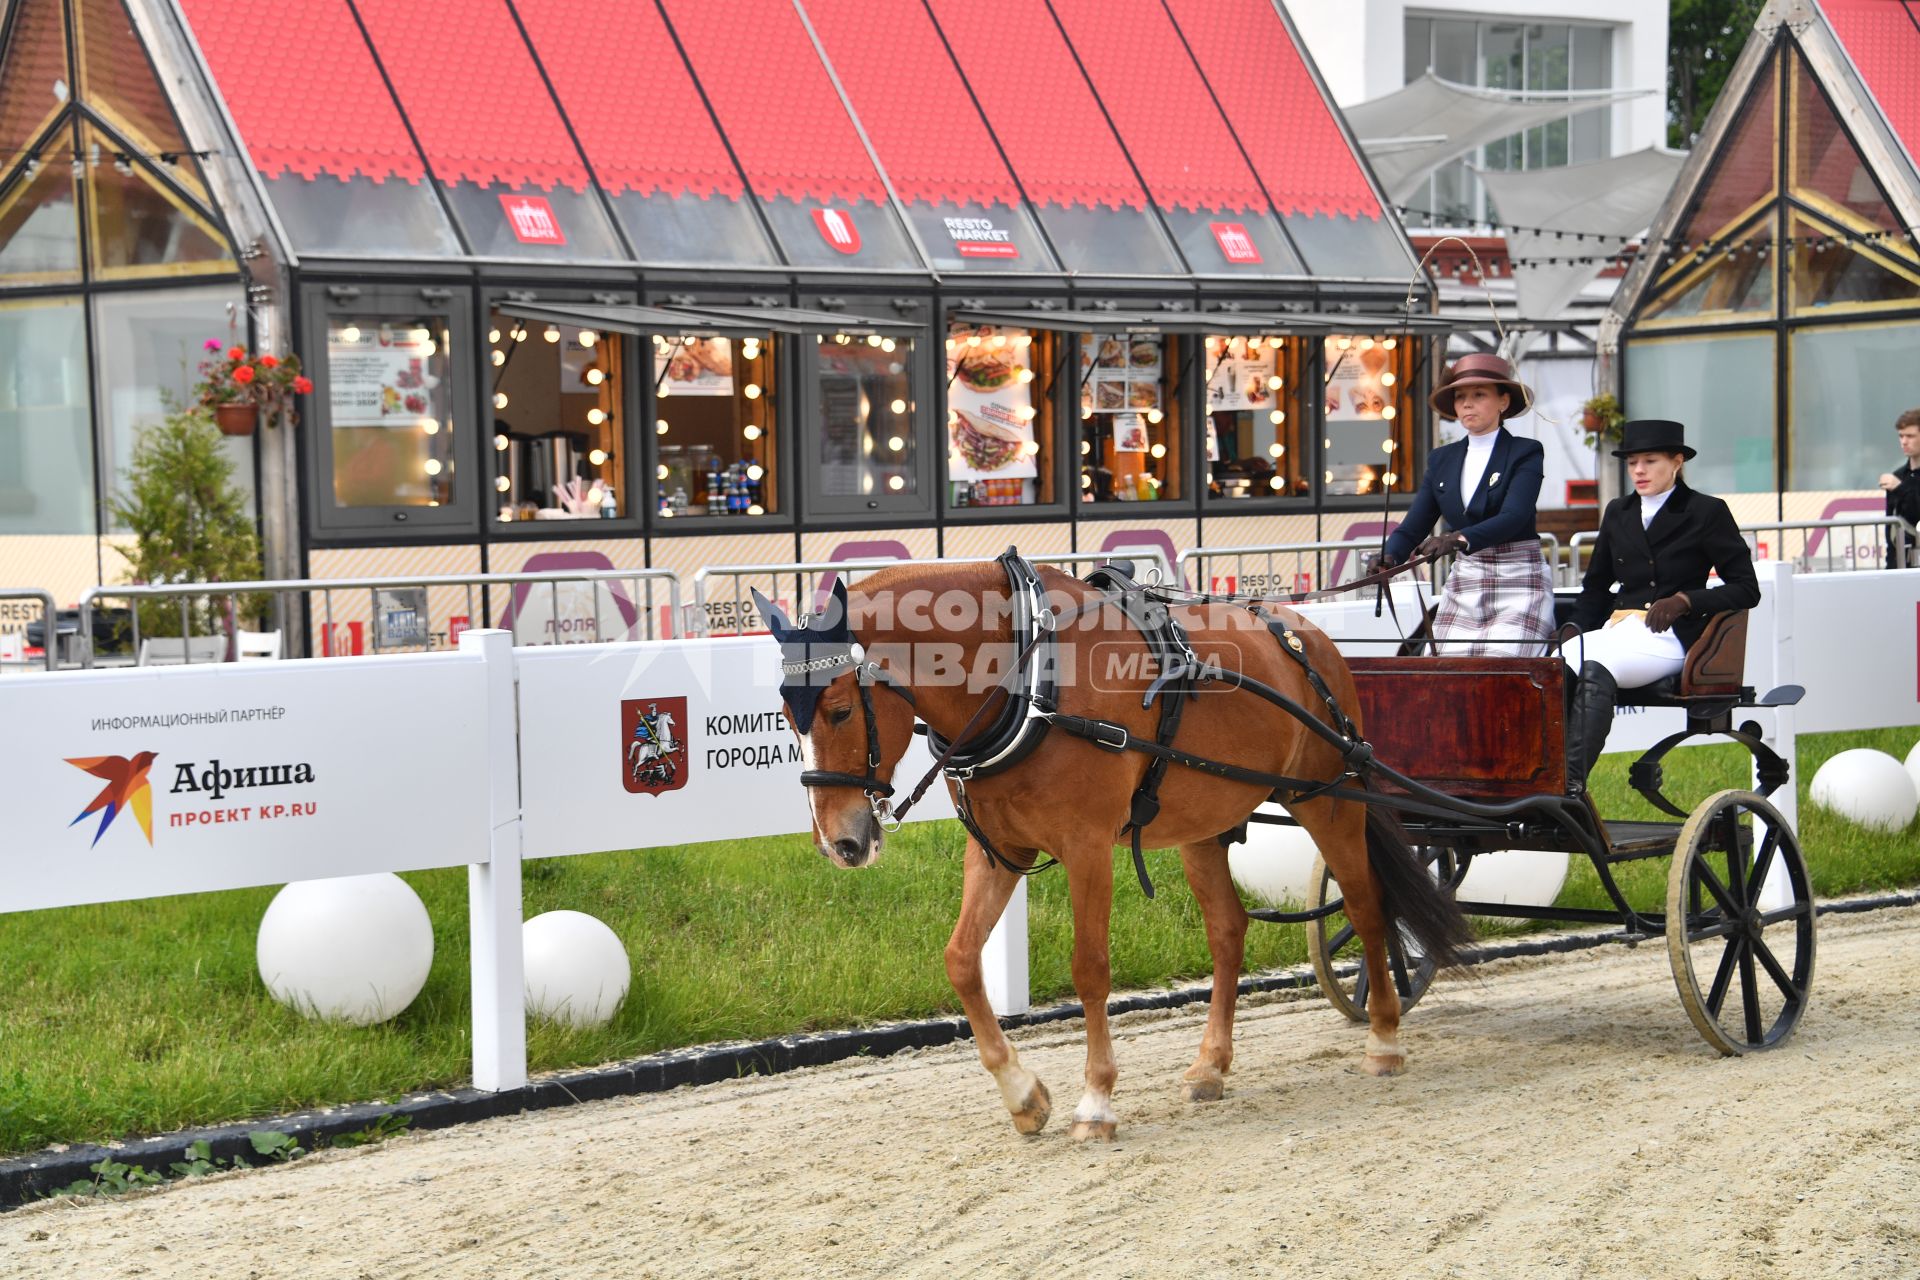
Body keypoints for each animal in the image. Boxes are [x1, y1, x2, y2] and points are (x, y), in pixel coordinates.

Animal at [752, 556, 1466, 1136]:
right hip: (1205, 824)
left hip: (1330, 799)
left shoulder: (1088, 846)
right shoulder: (998, 850)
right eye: (787, 717)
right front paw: (1023, 1095)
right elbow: (960, 960)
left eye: (841, 710)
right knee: (1228, 931)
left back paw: (1384, 1038)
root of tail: (1307, 634)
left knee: (1367, 907)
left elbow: (1090, 968)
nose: (840, 841)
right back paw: (1211, 1065)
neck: (1030, 675)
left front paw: (1095, 1101)